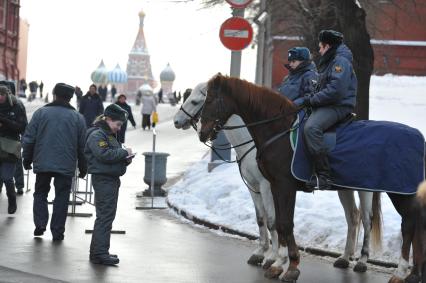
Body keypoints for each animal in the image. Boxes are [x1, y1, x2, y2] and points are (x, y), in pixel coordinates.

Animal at [199, 74, 422, 282]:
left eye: (209, 100)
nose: (202, 133)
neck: (278, 130)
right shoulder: (274, 186)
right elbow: (279, 222)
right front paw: (280, 264)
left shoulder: (282, 186)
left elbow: (283, 223)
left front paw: (289, 266)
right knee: (367, 218)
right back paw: (409, 273)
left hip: (395, 192)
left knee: (402, 225)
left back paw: (394, 270)